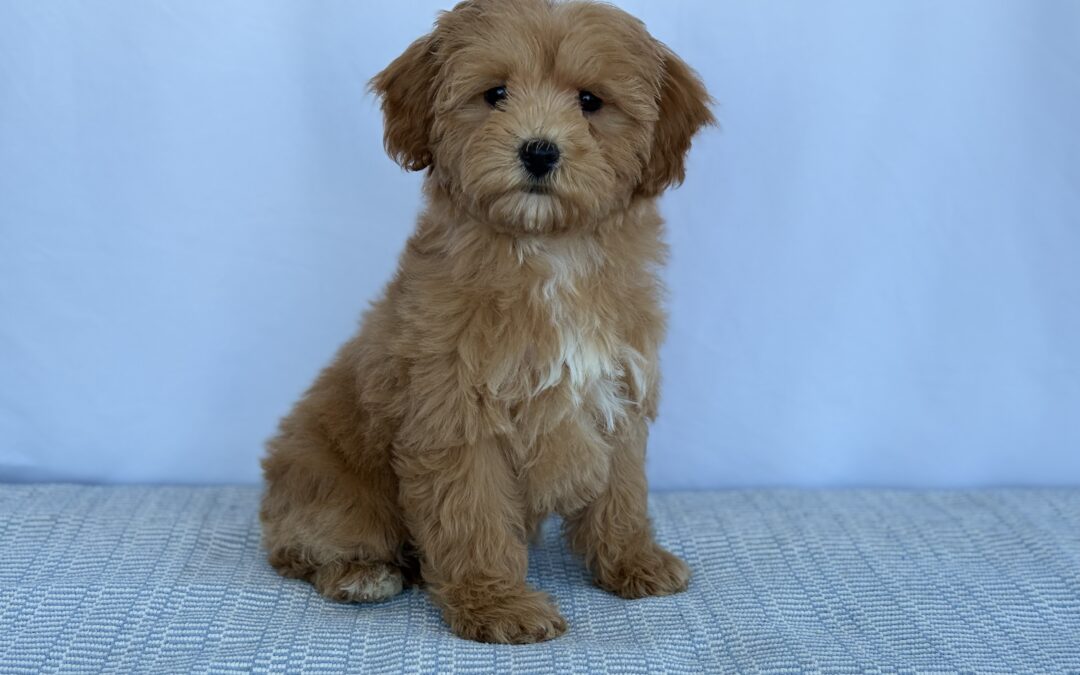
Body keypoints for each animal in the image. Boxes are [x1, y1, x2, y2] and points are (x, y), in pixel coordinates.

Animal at [260, 0, 712, 643]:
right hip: (331, 485)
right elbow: (472, 515)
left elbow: (622, 488)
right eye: (495, 93)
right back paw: (361, 573)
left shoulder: (619, 390)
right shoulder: (455, 414)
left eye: (590, 101)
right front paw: (496, 606)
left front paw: (632, 560)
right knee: (300, 547)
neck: (550, 252)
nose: (539, 150)